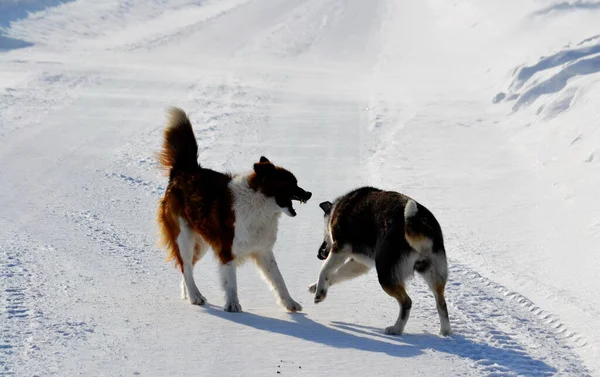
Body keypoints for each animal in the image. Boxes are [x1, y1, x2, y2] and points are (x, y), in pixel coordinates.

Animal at [157, 106, 312, 312]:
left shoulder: (263, 251)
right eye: (291, 184)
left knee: (187, 266)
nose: (309, 194)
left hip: (201, 241)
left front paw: (290, 303)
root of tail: (184, 171)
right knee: (186, 266)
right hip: (184, 236)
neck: (259, 204)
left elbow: (279, 280)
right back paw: (194, 295)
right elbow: (231, 282)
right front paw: (233, 306)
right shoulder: (227, 250)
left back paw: (188, 293)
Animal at [310, 186, 450, 334]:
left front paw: (319, 293)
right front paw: (316, 287)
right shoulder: (361, 263)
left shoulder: (341, 248)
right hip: (433, 272)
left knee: (407, 302)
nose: (319, 254)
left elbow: (324, 270)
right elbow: (336, 275)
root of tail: (419, 222)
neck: (336, 209)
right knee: (441, 303)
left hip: (385, 275)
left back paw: (396, 329)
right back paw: (445, 332)